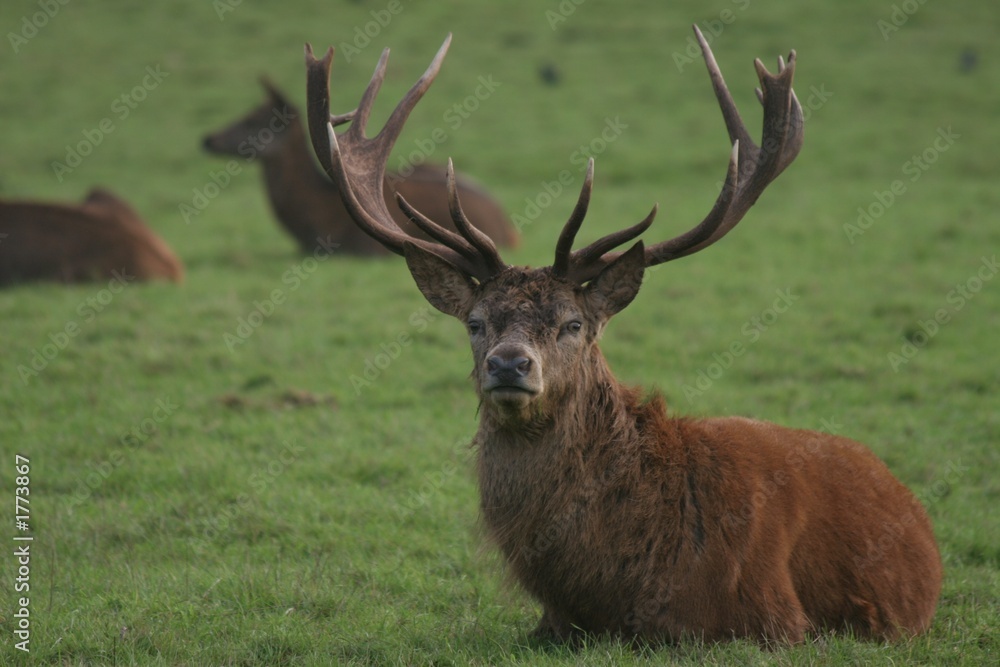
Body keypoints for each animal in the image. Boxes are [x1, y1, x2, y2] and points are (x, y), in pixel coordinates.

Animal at [302, 28, 936, 644]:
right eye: (476, 323)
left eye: (573, 323)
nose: (508, 364)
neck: (609, 588)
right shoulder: (550, 626)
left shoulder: (774, 618)